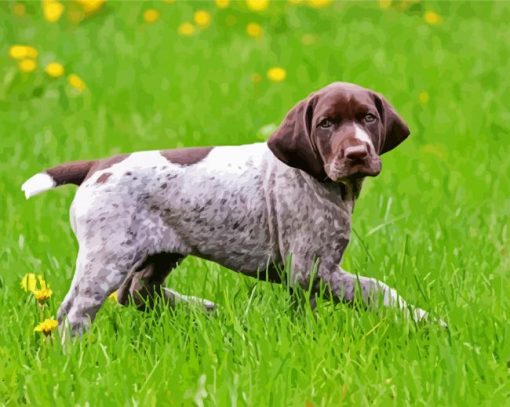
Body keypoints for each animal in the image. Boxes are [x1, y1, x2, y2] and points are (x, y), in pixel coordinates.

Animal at [22, 81, 438, 336]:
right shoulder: (310, 271)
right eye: (325, 124)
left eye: (368, 117)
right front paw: (423, 318)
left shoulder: (307, 275)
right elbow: (375, 289)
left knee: (136, 292)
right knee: (75, 312)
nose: (356, 154)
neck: (323, 182)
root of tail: (97, 166)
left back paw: (201, 308)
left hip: (160, 250)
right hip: (107, 257)